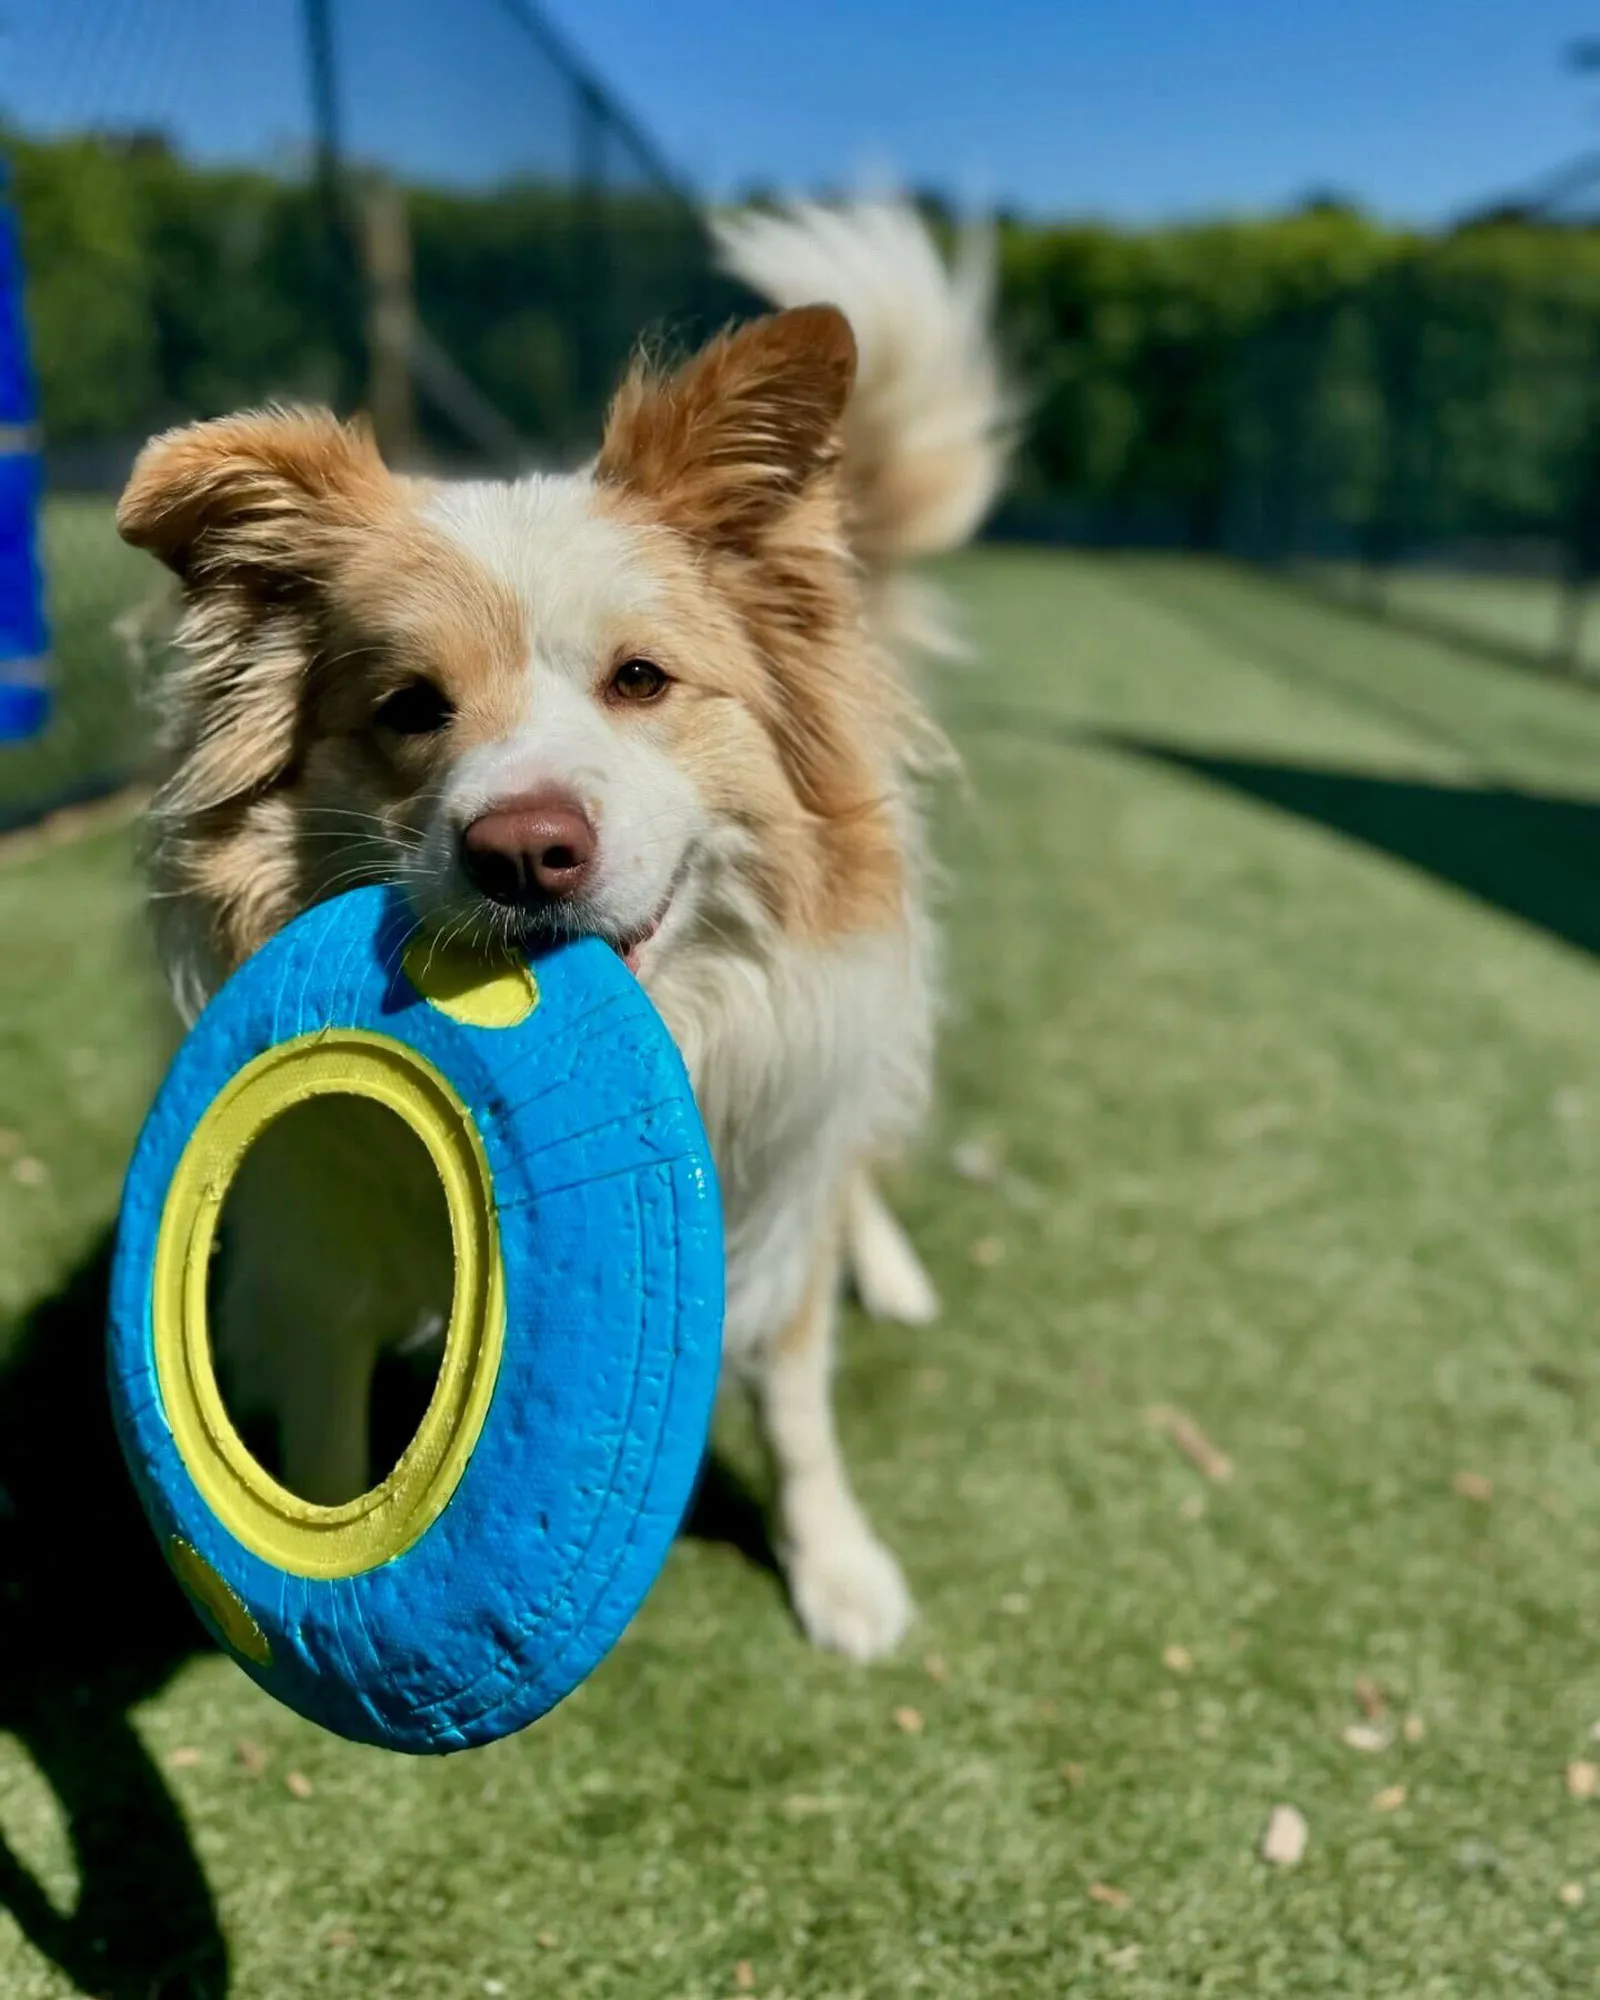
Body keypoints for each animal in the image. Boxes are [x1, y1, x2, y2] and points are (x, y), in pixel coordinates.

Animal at [119, 195, 1008, 1664]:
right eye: (410, 706)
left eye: (641, 679)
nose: (526, 851)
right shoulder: (316, 1252)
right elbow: (323, 1441)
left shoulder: (768, 1190)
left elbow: (796, 1400)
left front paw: (838, 1570)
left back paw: (890, 1269)